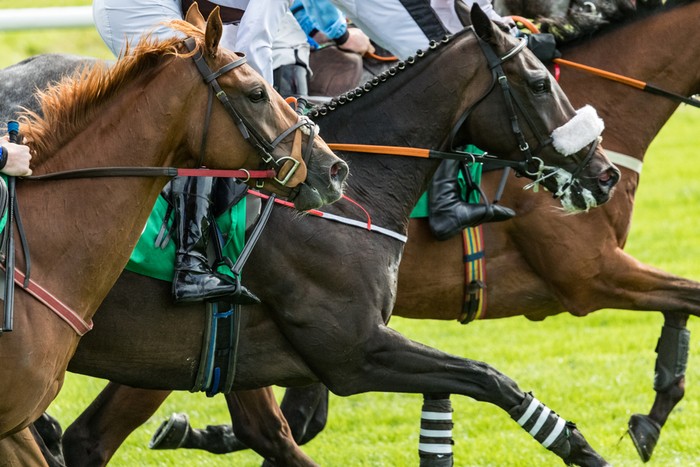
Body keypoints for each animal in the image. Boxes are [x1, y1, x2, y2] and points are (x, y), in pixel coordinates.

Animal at [47, 1, 700, 465]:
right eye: (540, 83)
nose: (602, 173)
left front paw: (652, 412)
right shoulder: (584, 277)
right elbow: (494, 377)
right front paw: (603, 438)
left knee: (91, 438)